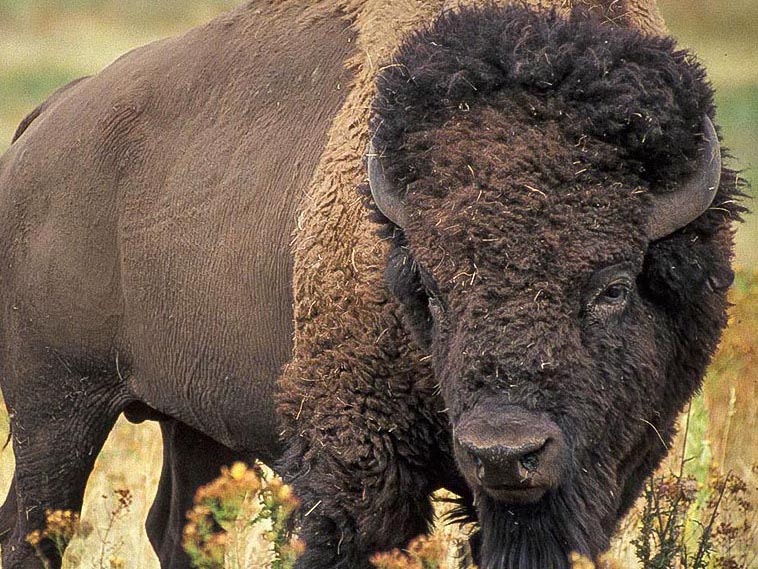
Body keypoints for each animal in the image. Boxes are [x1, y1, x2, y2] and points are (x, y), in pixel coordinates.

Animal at [0, 1, 744, 568]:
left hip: (189, 420)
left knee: (176, 527)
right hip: (57, 413)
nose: (505, 452)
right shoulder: (359, 465)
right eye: (433, 292)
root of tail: (45, 121)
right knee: (32, 529)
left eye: (612, 287)